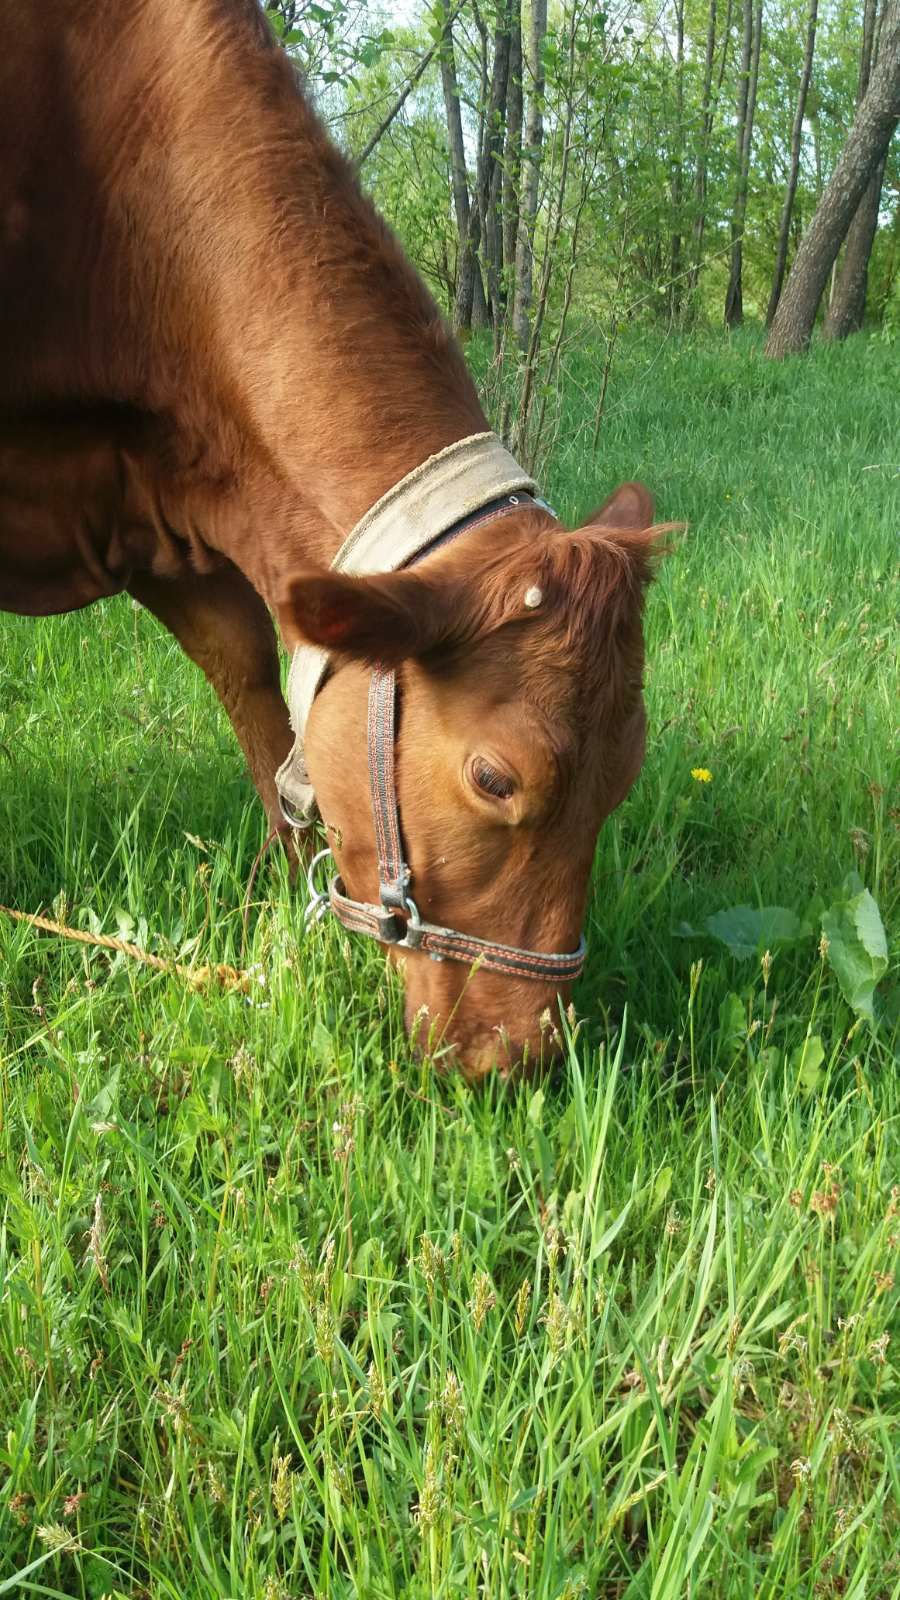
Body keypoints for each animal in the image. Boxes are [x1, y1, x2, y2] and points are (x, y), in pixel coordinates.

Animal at [0, 3, 659, 1075]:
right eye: (495, 779)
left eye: (627, 773)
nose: (522, 1055)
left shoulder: (162, 506)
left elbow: (254, 687)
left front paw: (291, 881)